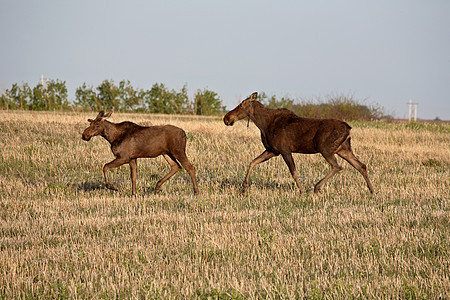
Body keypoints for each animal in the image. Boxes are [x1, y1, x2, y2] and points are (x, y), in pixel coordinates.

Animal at [223, 92, 374, 193]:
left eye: (241, 105)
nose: (226, 118)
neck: (263, 124)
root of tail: (349, 128)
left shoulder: (284, 149)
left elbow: (294, 172)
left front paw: (301, 190)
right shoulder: (273, 150)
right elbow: (253, 162)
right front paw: (244, 187)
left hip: (325, 148)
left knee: (337, 166)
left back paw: (316, 187)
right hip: (344, 149)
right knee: (361, 165)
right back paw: (372, 190)